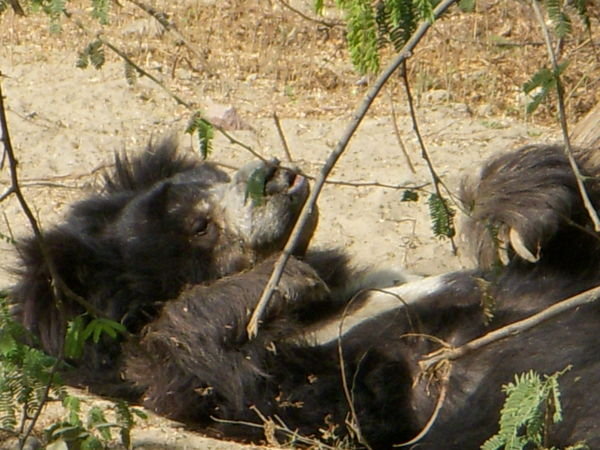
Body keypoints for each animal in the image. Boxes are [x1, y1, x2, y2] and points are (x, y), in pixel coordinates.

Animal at [9, 139, 600, 448]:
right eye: (202, 227)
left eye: (212, 175)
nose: (274, 174)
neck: (329, 304)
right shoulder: (333, 391)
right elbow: (233, 380)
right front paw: (275, 279)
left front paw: (516, 201)